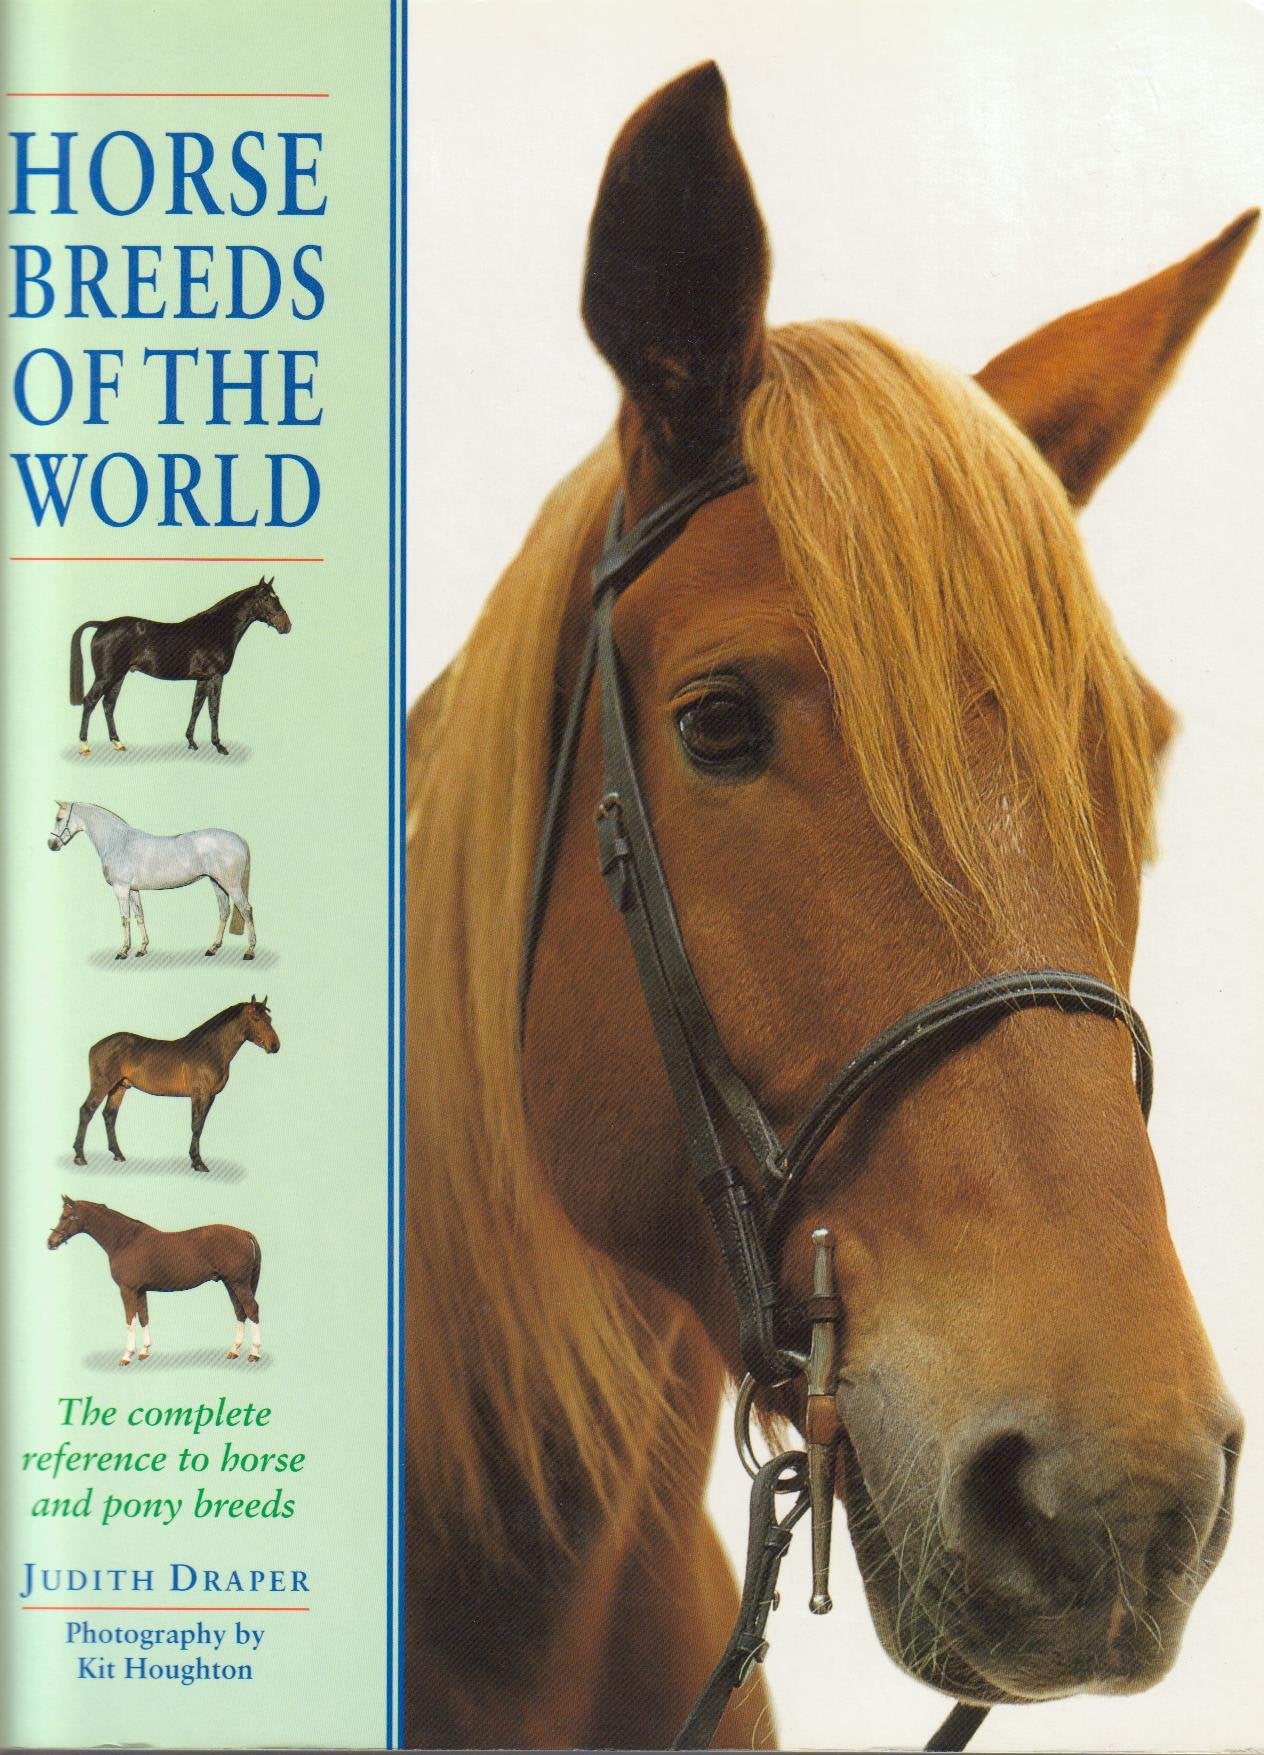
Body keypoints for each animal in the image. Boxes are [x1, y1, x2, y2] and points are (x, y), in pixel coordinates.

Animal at [47, 1195, 263, 1365]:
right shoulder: (140, 1290)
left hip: (238, 1283)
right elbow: (144, 1317)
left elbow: (130, 1320)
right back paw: (234, 1351)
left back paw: (254, 1353)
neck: (125, 1241)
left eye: (66, 1217)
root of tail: (244, 1233)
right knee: (240, 1311)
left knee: (251, 1309)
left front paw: (127, 1355)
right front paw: (144, 1352)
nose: (50, 1242)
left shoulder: (127, 1289)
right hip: (230, 1283)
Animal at [48, 801, 256, 960]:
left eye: (59, 819)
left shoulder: (121, 889)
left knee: (246, 909)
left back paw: (249, 951)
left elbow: (124, 918)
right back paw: (213, 948)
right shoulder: (133, 890)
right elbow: (139, 916)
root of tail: (239, 839)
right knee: (224, 912)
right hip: (217, 883)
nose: (51, 844)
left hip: (231, 885)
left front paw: (123, 951)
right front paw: (142, 949)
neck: (118, 841)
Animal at [69, 576, 292, 756]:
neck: (216, 630)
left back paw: (118, 743)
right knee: (90, 702)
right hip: (106, 676)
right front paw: (219, 745)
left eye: (276, 596)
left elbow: (196, 707)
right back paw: (85, 746)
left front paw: (191, 742)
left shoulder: (202, 679)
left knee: (108, 704)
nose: (287, 625)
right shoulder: (216, 676)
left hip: (118, 676)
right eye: (267, 598)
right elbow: (213, 709)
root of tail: (103, 624)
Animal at [73, 997, 280, 1174]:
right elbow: (196, 1126)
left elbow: (200, 1126)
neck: (210, 1050)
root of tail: (95, 1046)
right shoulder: (200, 1095)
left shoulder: (210, 1097)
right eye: (256, 1018)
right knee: (86, 1111)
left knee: (109, 1115)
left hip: (119, 1088)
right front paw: (198, 1163)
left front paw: (195, 1160)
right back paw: (80, 1157)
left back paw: (118, 1155)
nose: (275, 1046)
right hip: (103, 1085)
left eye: (269, 1018)